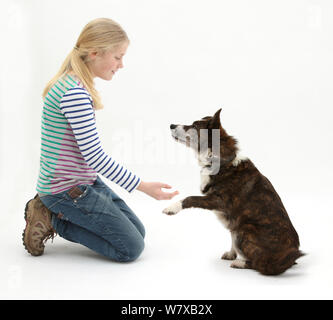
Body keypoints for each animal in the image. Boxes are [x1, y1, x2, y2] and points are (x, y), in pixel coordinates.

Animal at [162, 109, 302, 274]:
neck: (220, 160)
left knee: (263, 264)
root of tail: (287, 260)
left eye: (194, 126)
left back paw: (241, 263)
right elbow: (230, 233)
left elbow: (189, 198)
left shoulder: (218, 201)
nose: (171, 125)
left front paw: (172, 207)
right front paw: (231, 253)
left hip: (244, 230)